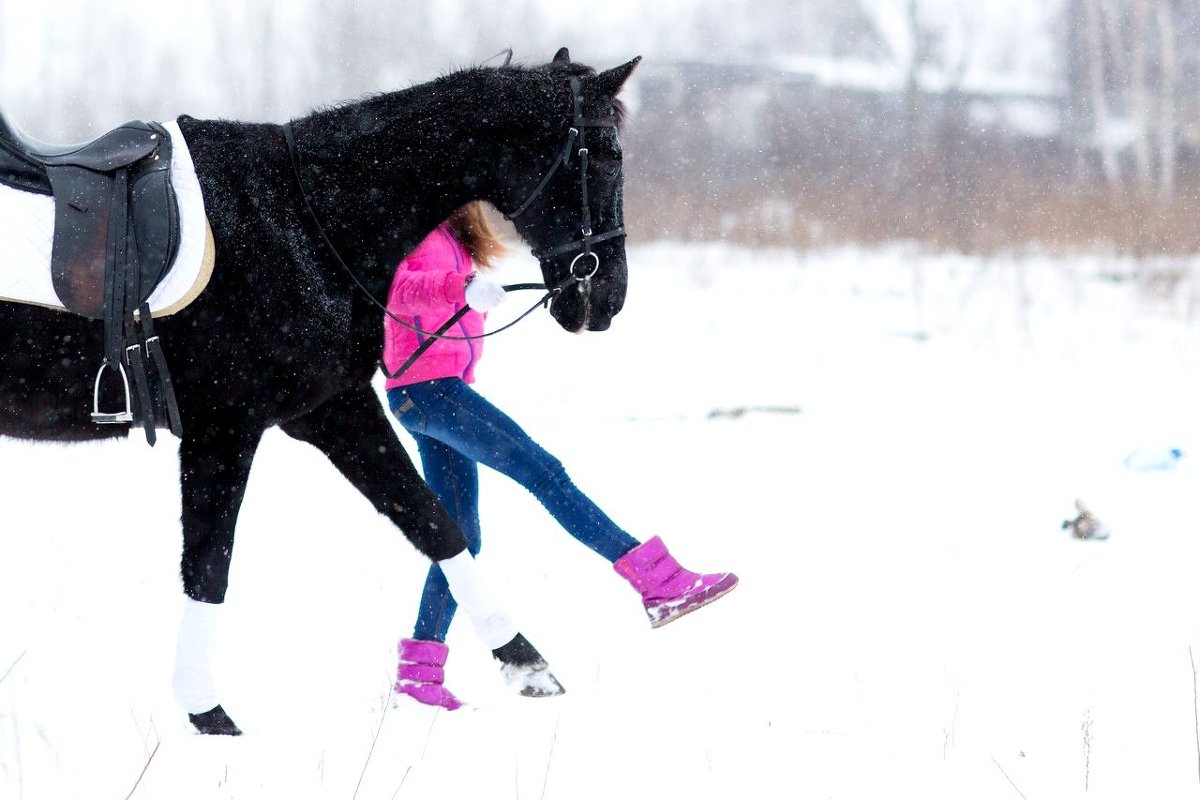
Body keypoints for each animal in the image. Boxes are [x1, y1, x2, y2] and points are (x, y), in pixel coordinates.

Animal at [0, 50, 643, 734]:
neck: (304, 220)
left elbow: (435, 525)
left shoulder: (333, 408)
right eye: (605, 153)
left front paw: (524, 662)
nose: (606, 299)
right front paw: (209, 718)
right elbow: (208, 567)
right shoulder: (223, 428)